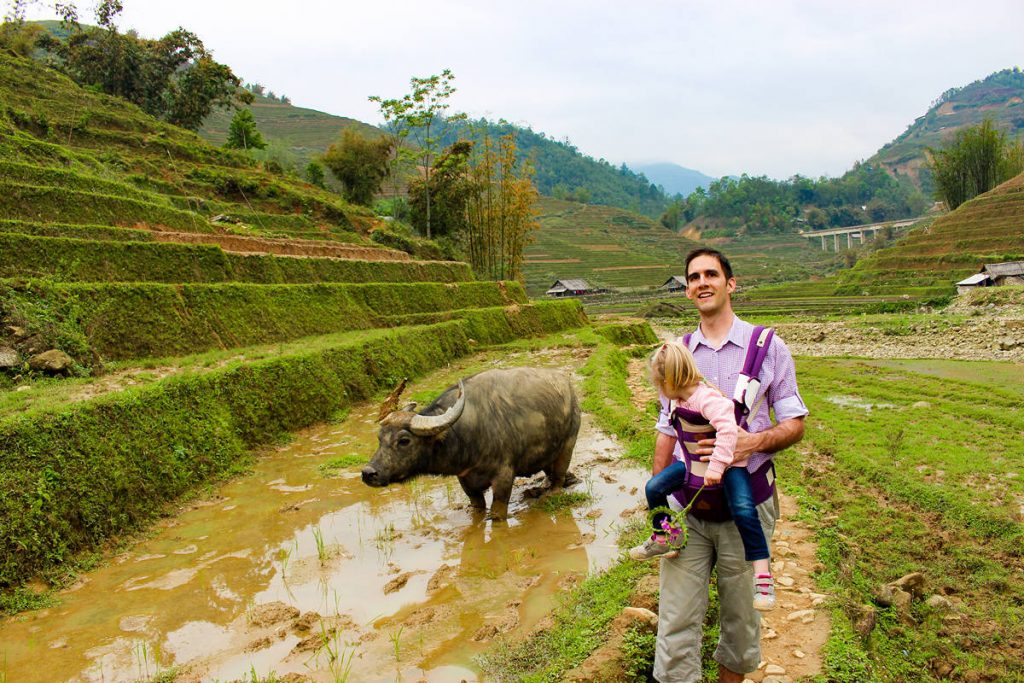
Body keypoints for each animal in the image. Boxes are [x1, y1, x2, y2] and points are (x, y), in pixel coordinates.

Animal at [364, 368, 581, 518]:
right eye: (379, 438)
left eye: (404, 440)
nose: (368, 473)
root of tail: (568, 387)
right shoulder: (466, 481)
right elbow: (477, 508)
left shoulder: (503, 476)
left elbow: (497, 513)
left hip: (568, 445)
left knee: (558, 476)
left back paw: (551, 491)